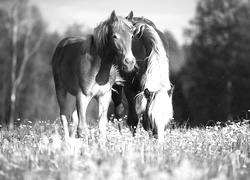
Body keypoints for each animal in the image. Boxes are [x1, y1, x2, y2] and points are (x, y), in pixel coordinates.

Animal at [51, 10, 136, 139]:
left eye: (132, 36)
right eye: (114, 36)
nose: (129, 61)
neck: (98, 69)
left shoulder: (104, 96)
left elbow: (101, 127)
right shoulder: (82, 95)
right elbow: (82, 129)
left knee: (73, 117)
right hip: (60, 89)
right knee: (64, 115)